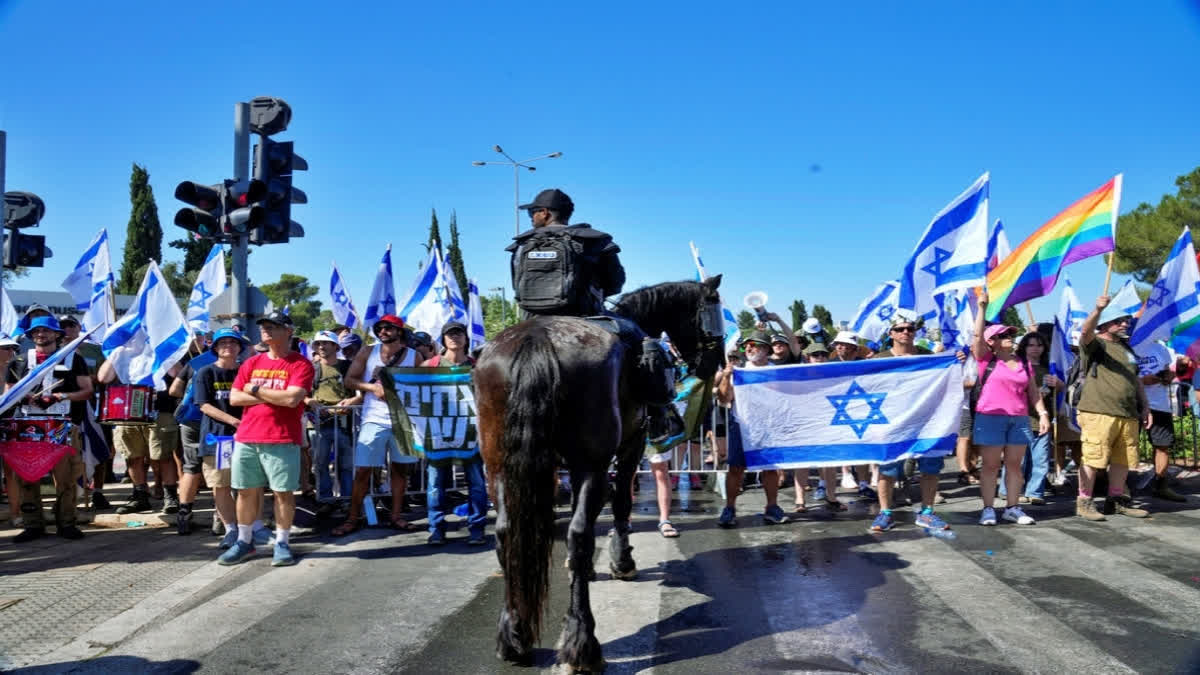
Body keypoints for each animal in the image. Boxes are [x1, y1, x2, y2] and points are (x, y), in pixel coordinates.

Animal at [475, 275, 720, 667]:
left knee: (507, 534)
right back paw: (582, 643)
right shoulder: (630, 445)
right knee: (578, 535)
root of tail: (536, 338)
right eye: (712, 309)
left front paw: (591, 569)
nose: (714, 363)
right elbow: (620, 504)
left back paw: (514, 637)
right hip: (591, 461)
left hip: (499, 466)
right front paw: (622, 562)